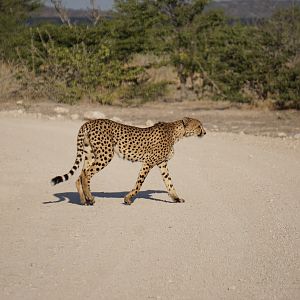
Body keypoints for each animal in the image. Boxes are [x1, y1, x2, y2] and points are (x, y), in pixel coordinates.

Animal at [51, 117, 206, 206]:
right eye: (199, 126)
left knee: (81, 175)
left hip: (91, 154)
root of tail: (89, 122)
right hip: (105, 155)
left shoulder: (162, 163)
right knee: (86, 174)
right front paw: (128, 199)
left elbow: (169, 182)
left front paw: (176, 198)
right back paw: (90, 198)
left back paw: (84, 200)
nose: (204, 132)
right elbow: (139, 184)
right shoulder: (148, 162)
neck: (176, 133)